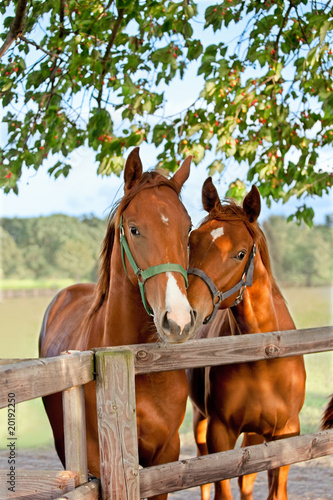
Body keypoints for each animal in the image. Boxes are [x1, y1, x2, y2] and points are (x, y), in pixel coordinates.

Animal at [185, 177, 304, 500]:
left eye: (240, 253)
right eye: (191, 241)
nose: (186, 310)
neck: (263, 358)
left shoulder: (286, 434)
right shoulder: (220, 433)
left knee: (247, 482)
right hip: (200, 422)